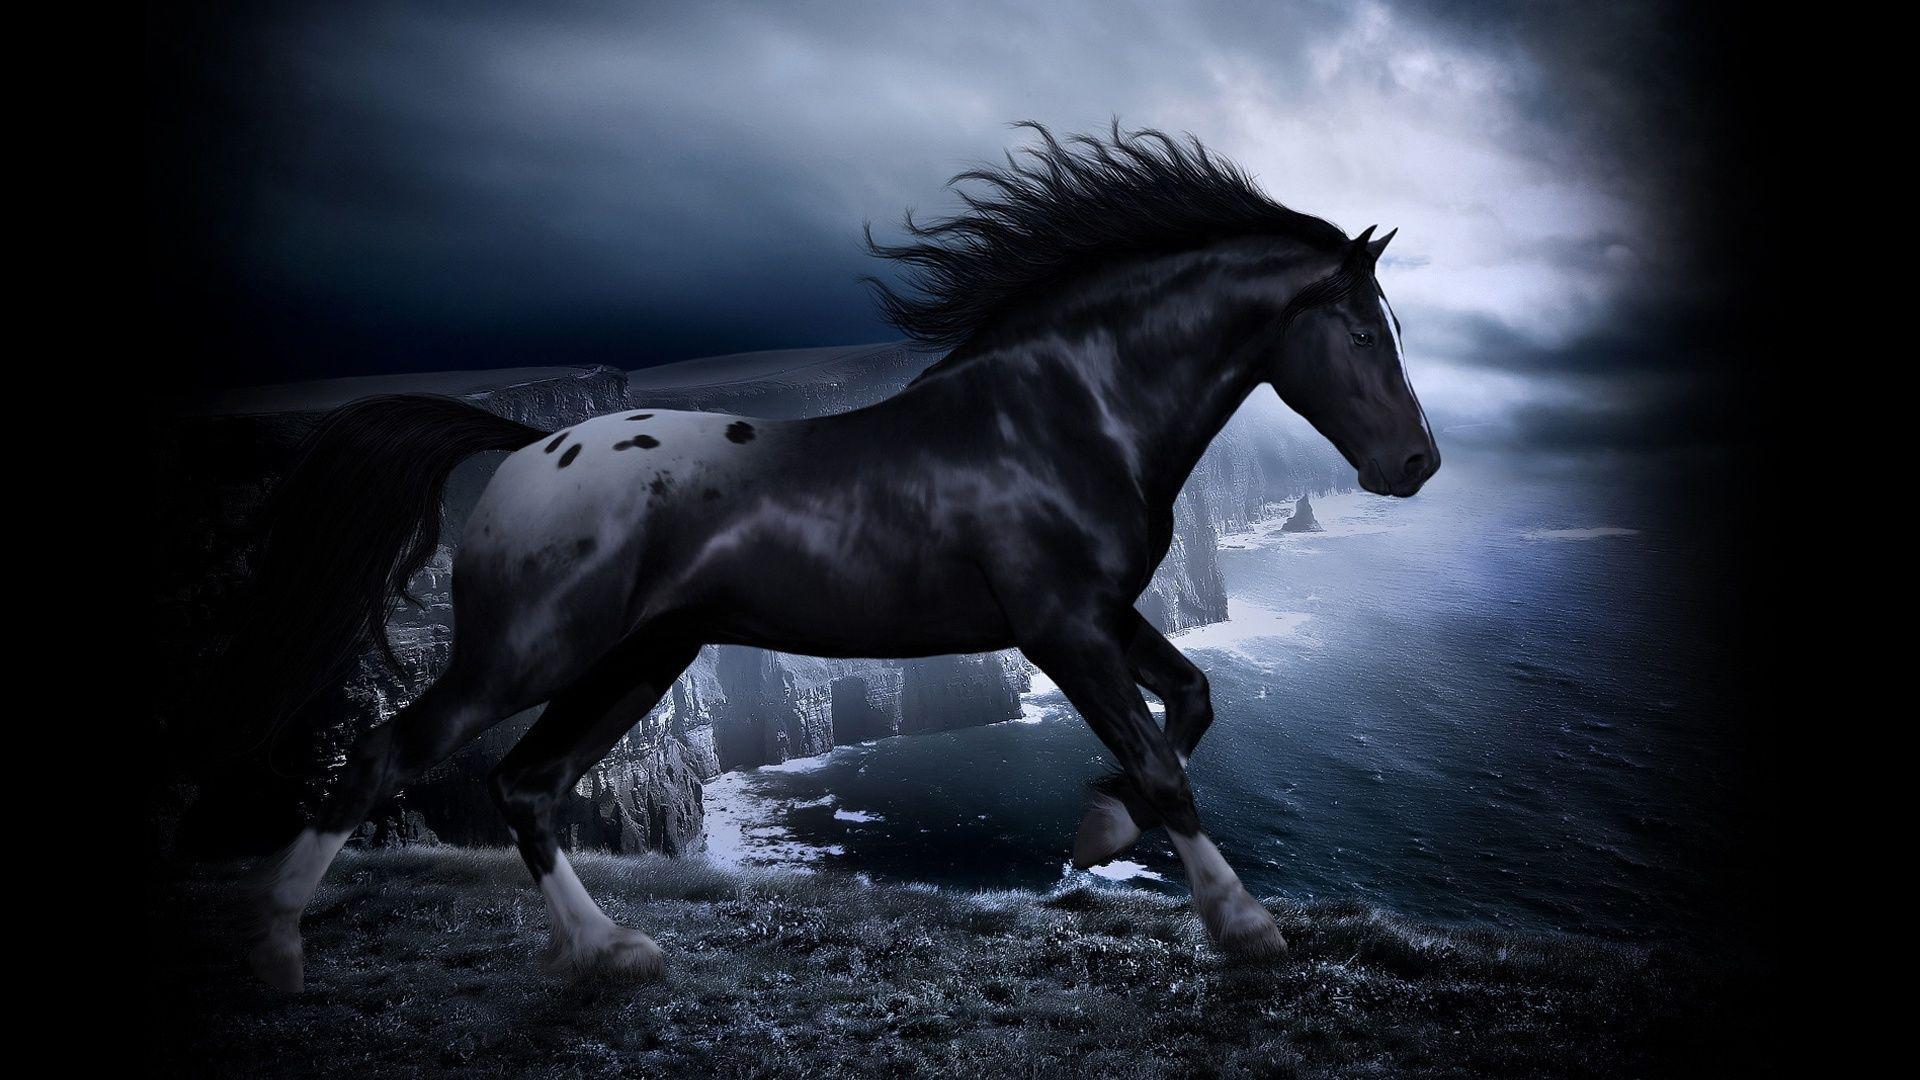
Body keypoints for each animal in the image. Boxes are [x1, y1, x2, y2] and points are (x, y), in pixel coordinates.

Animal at [243, 122, 1439, 991]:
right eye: (1362, 331)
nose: (1418, 464)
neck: (1064, 412)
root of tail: (530, 443)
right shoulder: (1060, 627)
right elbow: (1160, 760)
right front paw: (1242, 925)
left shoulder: (1102, 613)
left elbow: (1191, 702)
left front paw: (1099, 828)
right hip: (529, 652)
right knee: (387, 756)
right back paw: (278, 952)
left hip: (638, 662)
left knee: (527, 784)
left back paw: (610, 954)